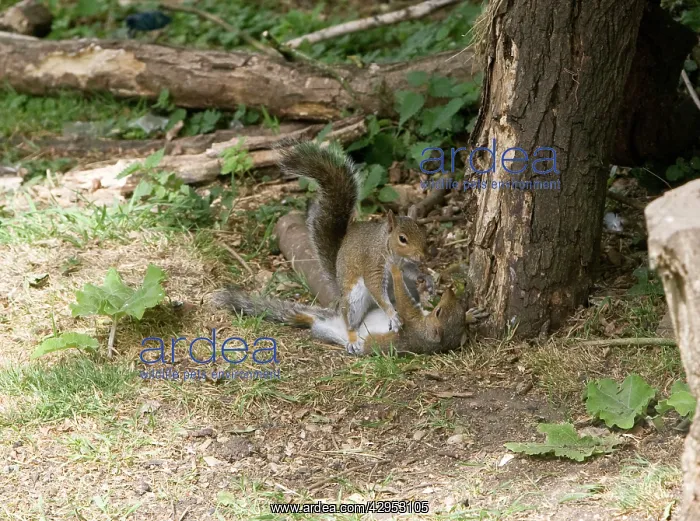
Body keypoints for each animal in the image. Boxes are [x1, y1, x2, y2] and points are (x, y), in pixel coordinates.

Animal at [213, 256, 488, 355]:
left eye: (439, 312)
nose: (450, 291)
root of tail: (330, 318)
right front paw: (471, 315)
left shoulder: (412, 323)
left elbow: (403, 302)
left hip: (327, 330)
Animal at [277, 140, 429, 354]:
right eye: (402, 239)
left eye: (422, 232)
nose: (423, 257)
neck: (387, 247)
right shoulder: (373, 263)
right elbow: (375, 286)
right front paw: (392, 315)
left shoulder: (404, 264)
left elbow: (411, 271)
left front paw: (426, 277)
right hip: (354, 299)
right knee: (349, 322)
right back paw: (353, 339)